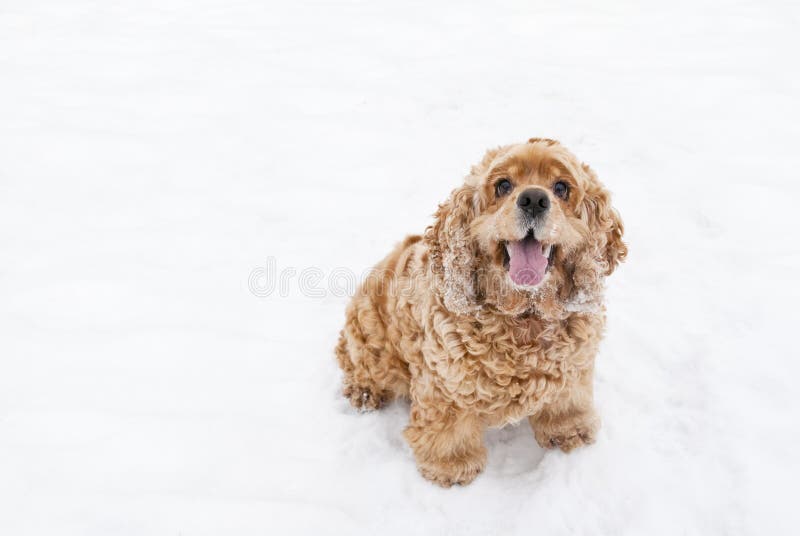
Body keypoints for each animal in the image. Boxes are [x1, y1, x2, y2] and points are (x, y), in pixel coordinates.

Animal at [334, 137, 628, 486]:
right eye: (503, 185)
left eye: (561, 187)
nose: (533, 199)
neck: (524, 316)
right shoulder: (444, 381)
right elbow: (448, 427)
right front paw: (451, 466)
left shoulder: (575, 364)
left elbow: (568, 399)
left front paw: (570, 430)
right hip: (371, 340)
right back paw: (364, 393)